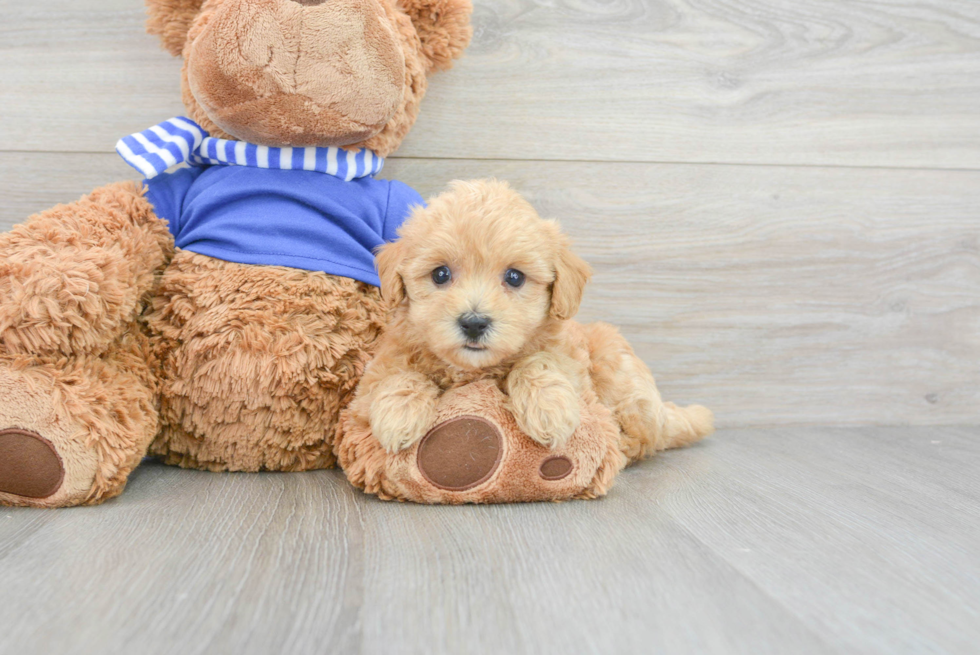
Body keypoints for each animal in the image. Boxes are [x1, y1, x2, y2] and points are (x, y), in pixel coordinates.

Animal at [352, 179, 712, 462]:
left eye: (515, 277)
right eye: (440, 274)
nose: (474, 322)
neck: (474, 370)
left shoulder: (571, 361)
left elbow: (539, 363)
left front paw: (548, 410)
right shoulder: (380, 369)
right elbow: (399, 376)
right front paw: (398, 415)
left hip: (618, 370)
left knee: (647, 436)